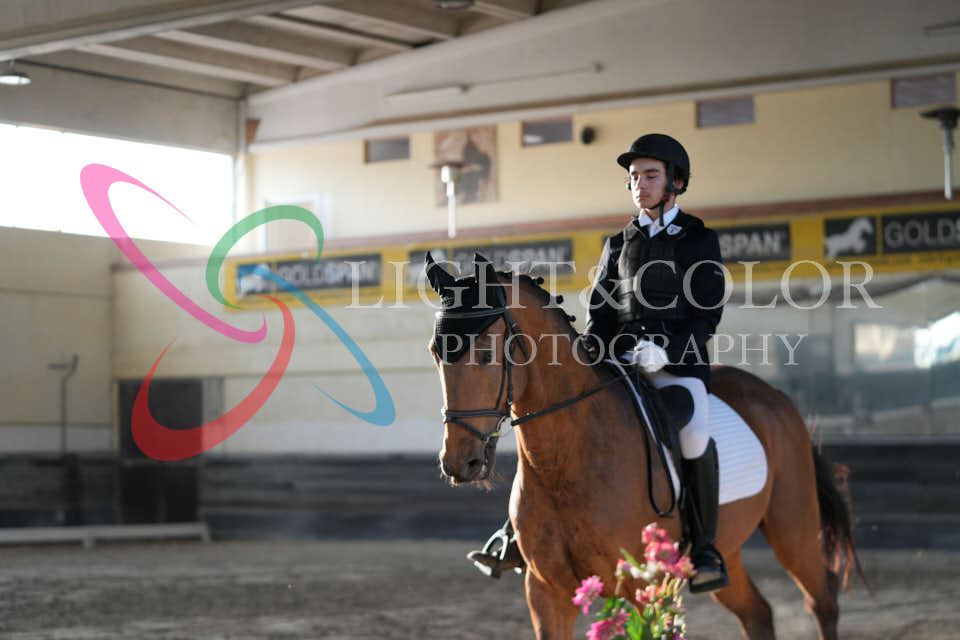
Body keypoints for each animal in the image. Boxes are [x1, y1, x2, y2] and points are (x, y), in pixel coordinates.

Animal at [426, 253, 860, 640]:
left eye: (486, 353)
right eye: (435, 354)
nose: (458, 462)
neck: (565, 462)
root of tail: (776, 396)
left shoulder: (643, 587)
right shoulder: (546, 591)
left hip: (794, 529)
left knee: (823, 603)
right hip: (729, 552)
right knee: (758, 614)